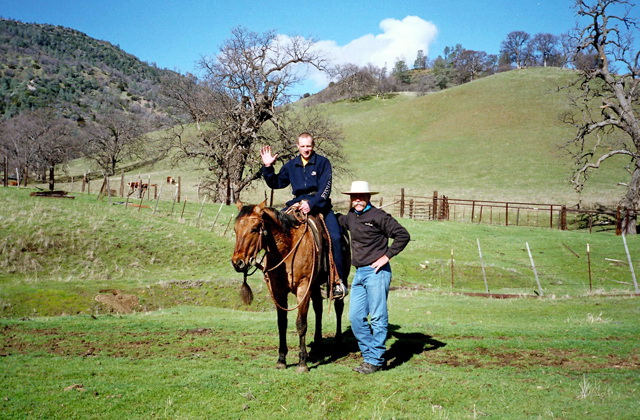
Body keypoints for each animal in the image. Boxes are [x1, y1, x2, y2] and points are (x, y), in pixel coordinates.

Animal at [231, 202, 344, 372]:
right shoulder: (278, 291)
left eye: (255, 228)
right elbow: (282, 323)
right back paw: (317, 344)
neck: (286, 250)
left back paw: (338, 341)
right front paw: (281, 360)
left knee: (339, 307)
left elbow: (301, 324)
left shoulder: (303, 288)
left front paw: (302, 363)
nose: (237, 262)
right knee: (318, 309)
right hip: (315, 286)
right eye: (235, 229)